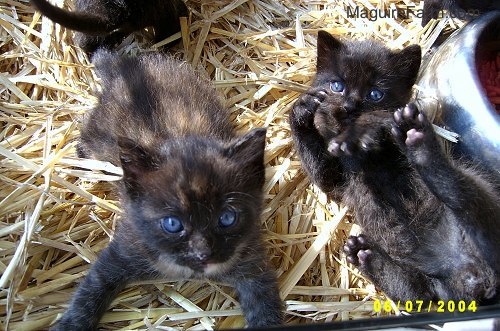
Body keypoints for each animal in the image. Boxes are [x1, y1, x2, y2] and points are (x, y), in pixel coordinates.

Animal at [53, 50, 286, 330]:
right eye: (172, 224)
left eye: (227, 218)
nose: (202, 254)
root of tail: (124, 63)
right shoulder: (124, 250)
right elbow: (90, 292)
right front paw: (70, 323)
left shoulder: (252, 263)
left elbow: (265, 307)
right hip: (99, 134)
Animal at [290, 31, 500, 306]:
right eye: (337, 86)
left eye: (375, 94)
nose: (349, 106)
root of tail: (472, 276)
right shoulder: (334, 180)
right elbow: (317, 165)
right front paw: (302, 111)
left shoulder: (390, 122)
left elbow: (381, 117)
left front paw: (358, 132)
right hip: (435, 290)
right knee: (415, 291)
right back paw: (365, 255)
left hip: (484, 197)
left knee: (458, 191)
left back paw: (420, 142)